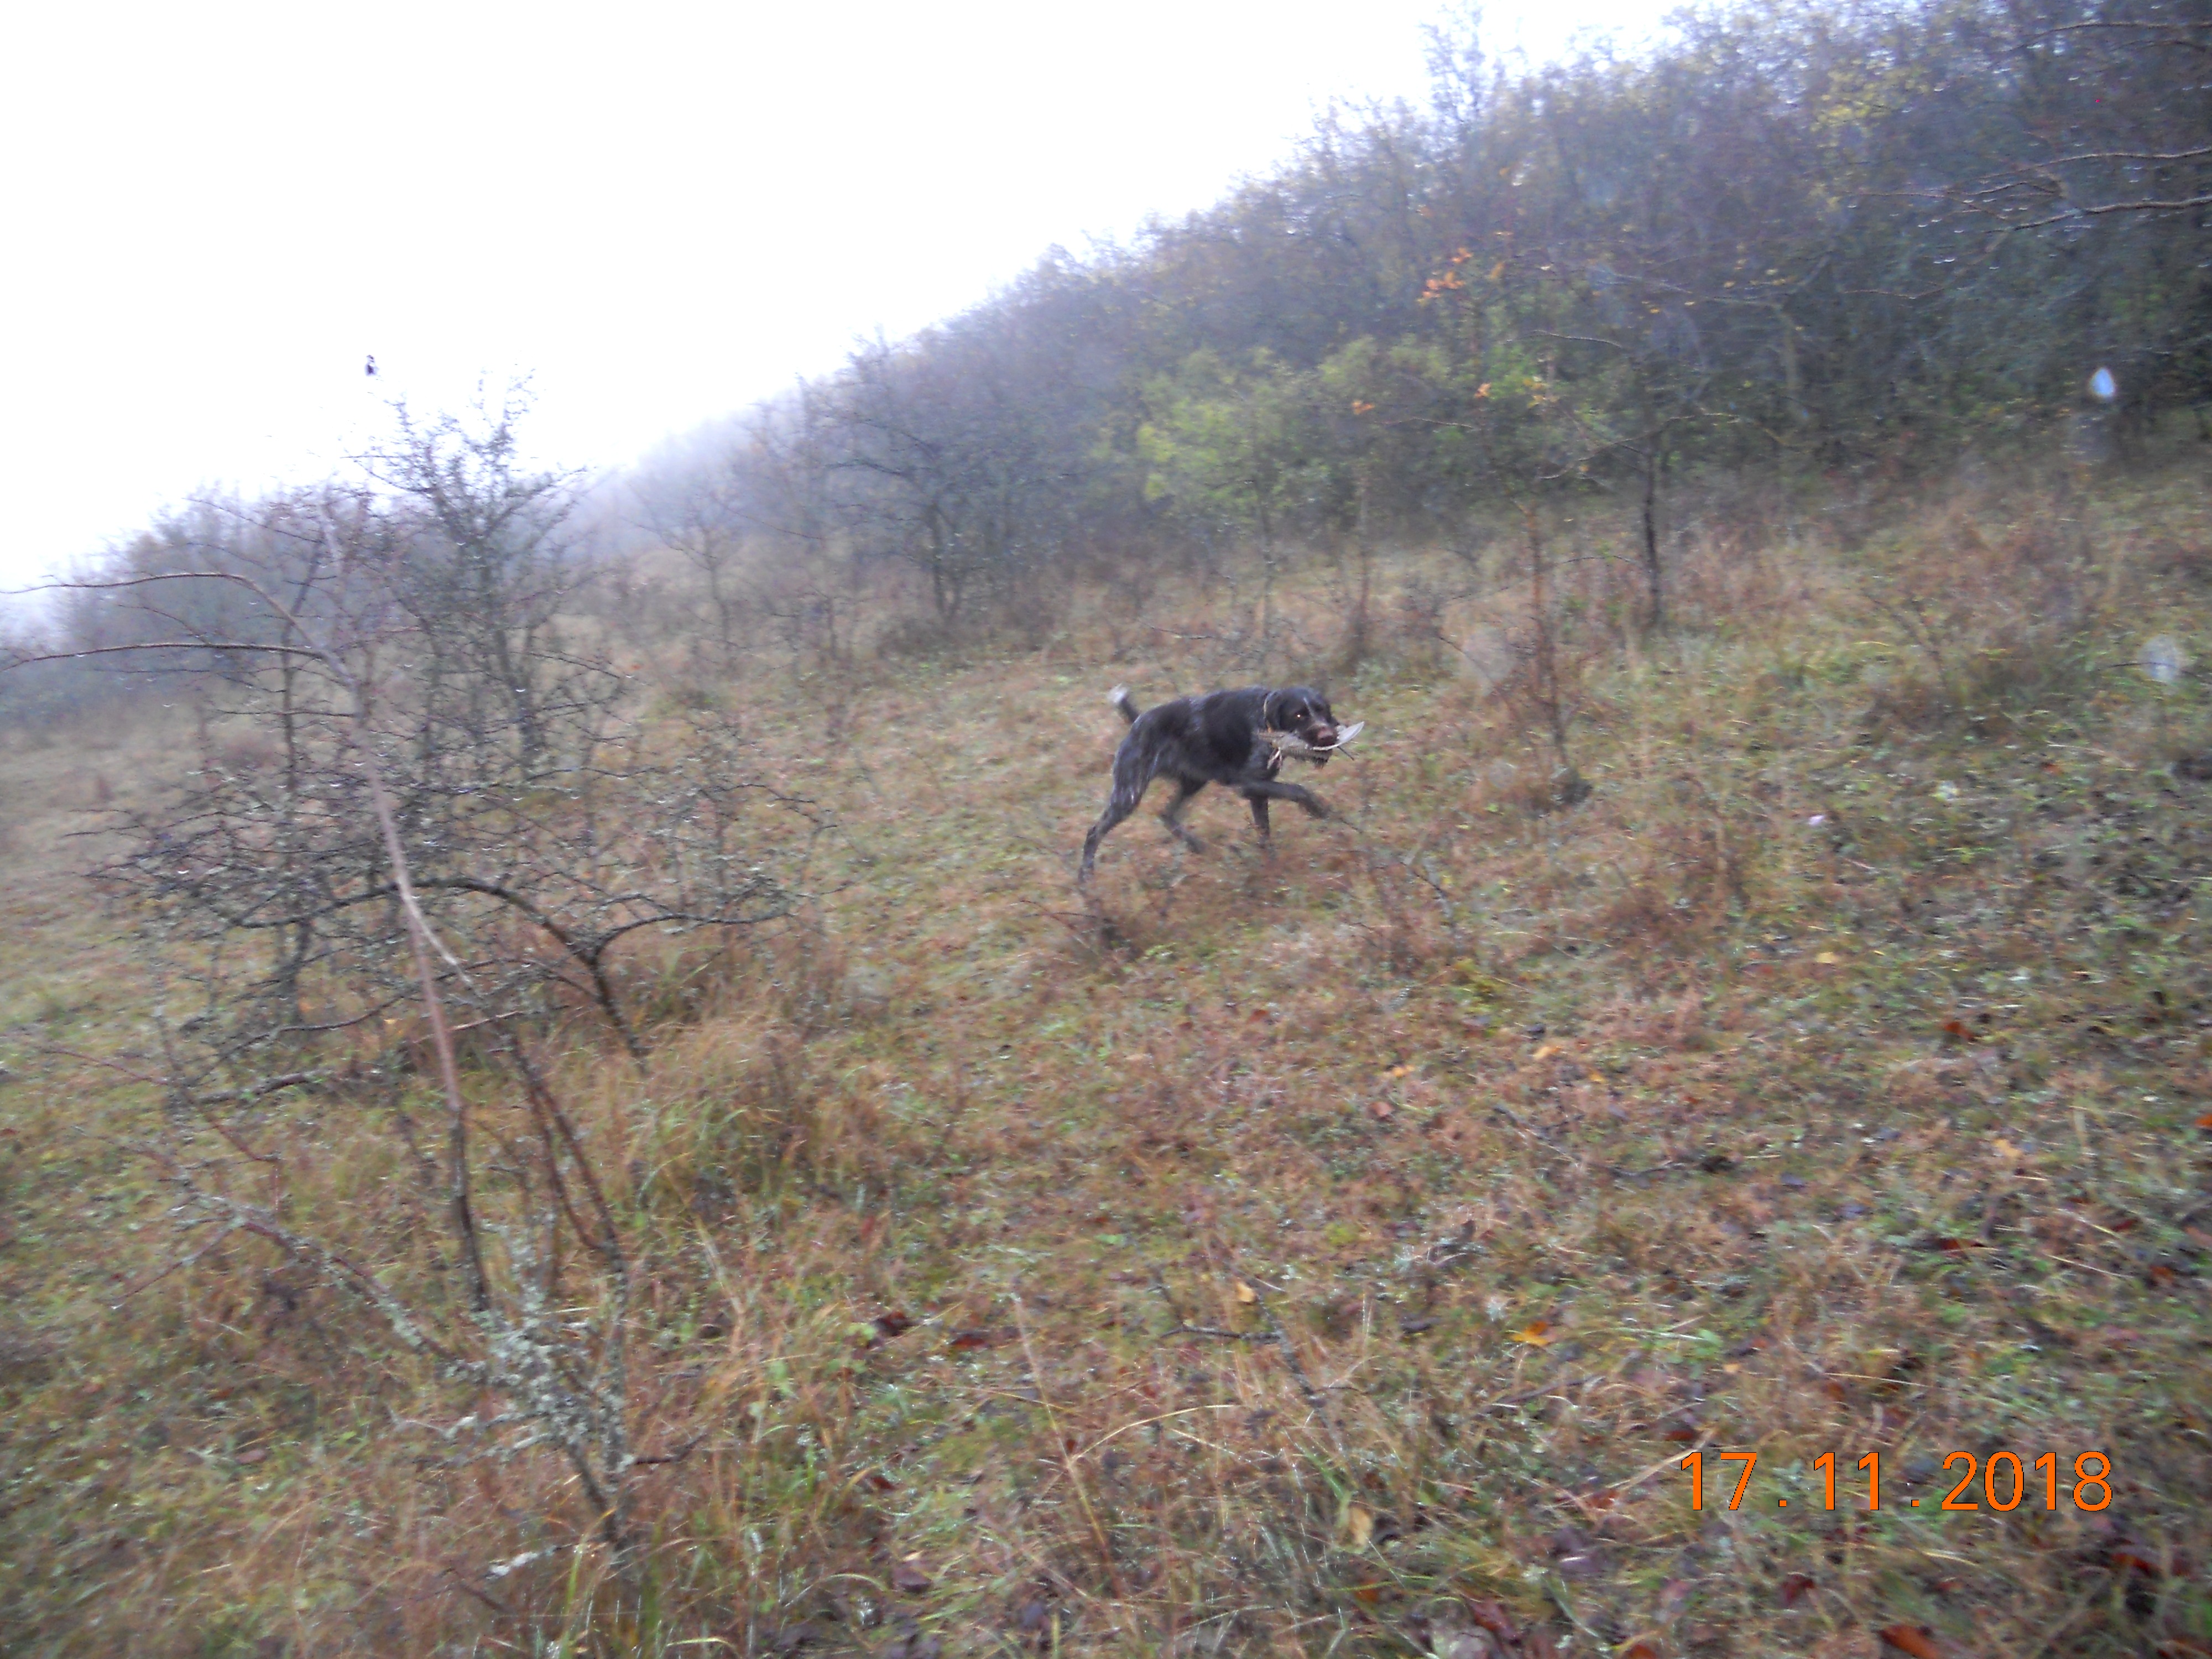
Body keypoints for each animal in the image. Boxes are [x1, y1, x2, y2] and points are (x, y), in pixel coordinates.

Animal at [1079, 683, 1344, 883]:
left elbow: (1265, 835)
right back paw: (1086, 879)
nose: (1327, 736)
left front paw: (1272, 868)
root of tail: (1138, 722)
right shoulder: (1248, 784)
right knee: (1094, 833)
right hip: (1128, 794)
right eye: (1299, 714)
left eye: (1322, 710)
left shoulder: (1258, 791)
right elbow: (1298, 790)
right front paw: (1320, 810)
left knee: (1166, 813)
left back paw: (1196, 846)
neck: (1265, 717)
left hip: (1193, 782)